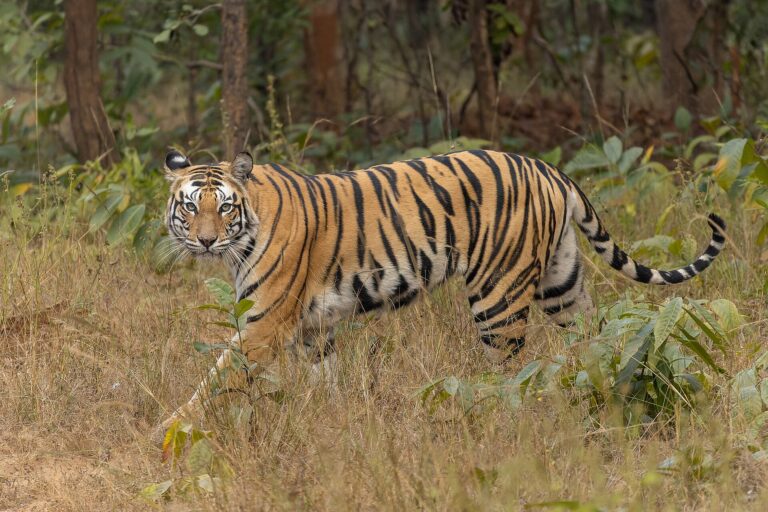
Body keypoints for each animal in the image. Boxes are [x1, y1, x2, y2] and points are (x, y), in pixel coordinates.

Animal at [159, 148, 726, 430]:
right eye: (190, 205)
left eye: (223, 207)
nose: (205, 240)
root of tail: (548, 168)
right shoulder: (313, 329)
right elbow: (328, 382)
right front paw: (335, 420)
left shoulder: (265, 323)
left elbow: (214, 380)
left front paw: (171, 430)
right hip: (562, 284)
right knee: (595, 340)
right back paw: (601, 394)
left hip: (499, 296)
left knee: (511, 372)